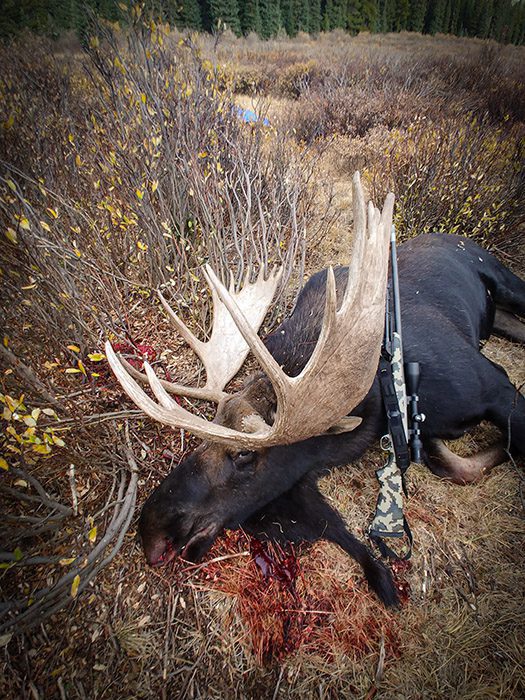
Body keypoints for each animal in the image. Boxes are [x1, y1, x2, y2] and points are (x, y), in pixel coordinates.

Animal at [105, 173, 525, 607]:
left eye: (244, 455)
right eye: (206, 435)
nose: (152, 529)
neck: (374, 396)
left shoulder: (493, 383)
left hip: (506, 280)